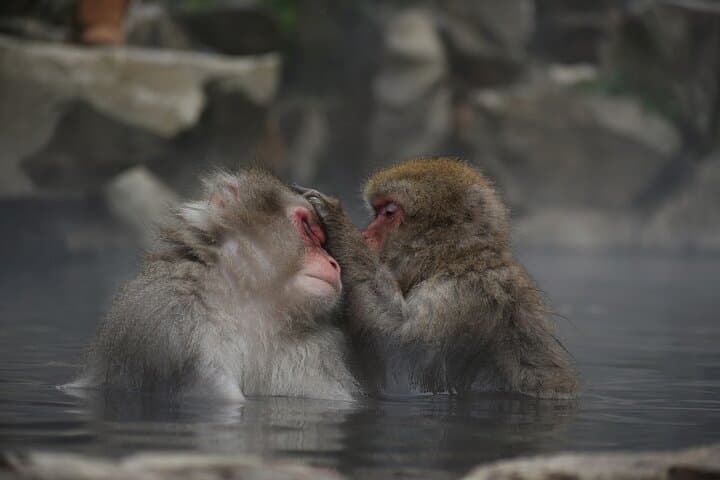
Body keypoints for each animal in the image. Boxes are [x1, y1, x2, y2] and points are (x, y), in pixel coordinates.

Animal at [66, 169, 360, 402]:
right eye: (308, 228)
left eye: (324, 242)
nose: (334, 263)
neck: (254, 305)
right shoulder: (169, 320)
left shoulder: (311, 355)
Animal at [297, 157, 580, 399]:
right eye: (376, 212)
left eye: (388, 213)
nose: (366, 235)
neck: (455, 259)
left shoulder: (460, 295)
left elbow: (402, 352)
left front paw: (335, 221)